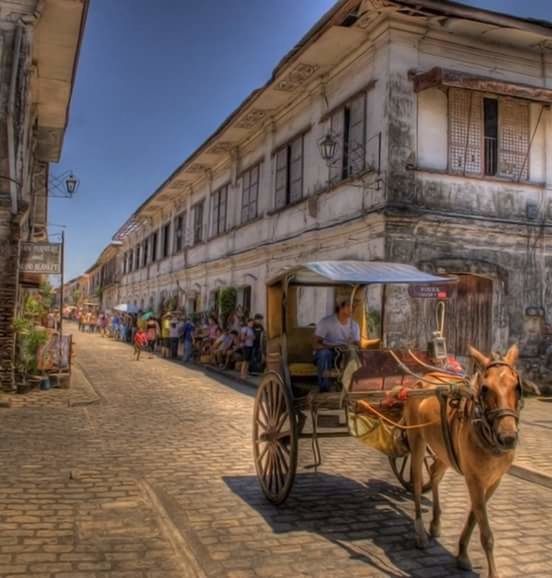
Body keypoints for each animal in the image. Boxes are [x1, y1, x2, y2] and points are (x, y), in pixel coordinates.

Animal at [406, 342, 520, 576]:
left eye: (516, 386)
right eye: (485, 388)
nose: (508, 438)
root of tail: (424, 378)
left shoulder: (494, 481)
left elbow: (474, 517)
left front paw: (462, 554)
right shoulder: (474, 479)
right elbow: (486, 533)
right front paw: (493, 572)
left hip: (444, 450)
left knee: (434, 474)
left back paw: (435, 523)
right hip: (417, 440)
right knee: (417, 482)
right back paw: (420, 533)